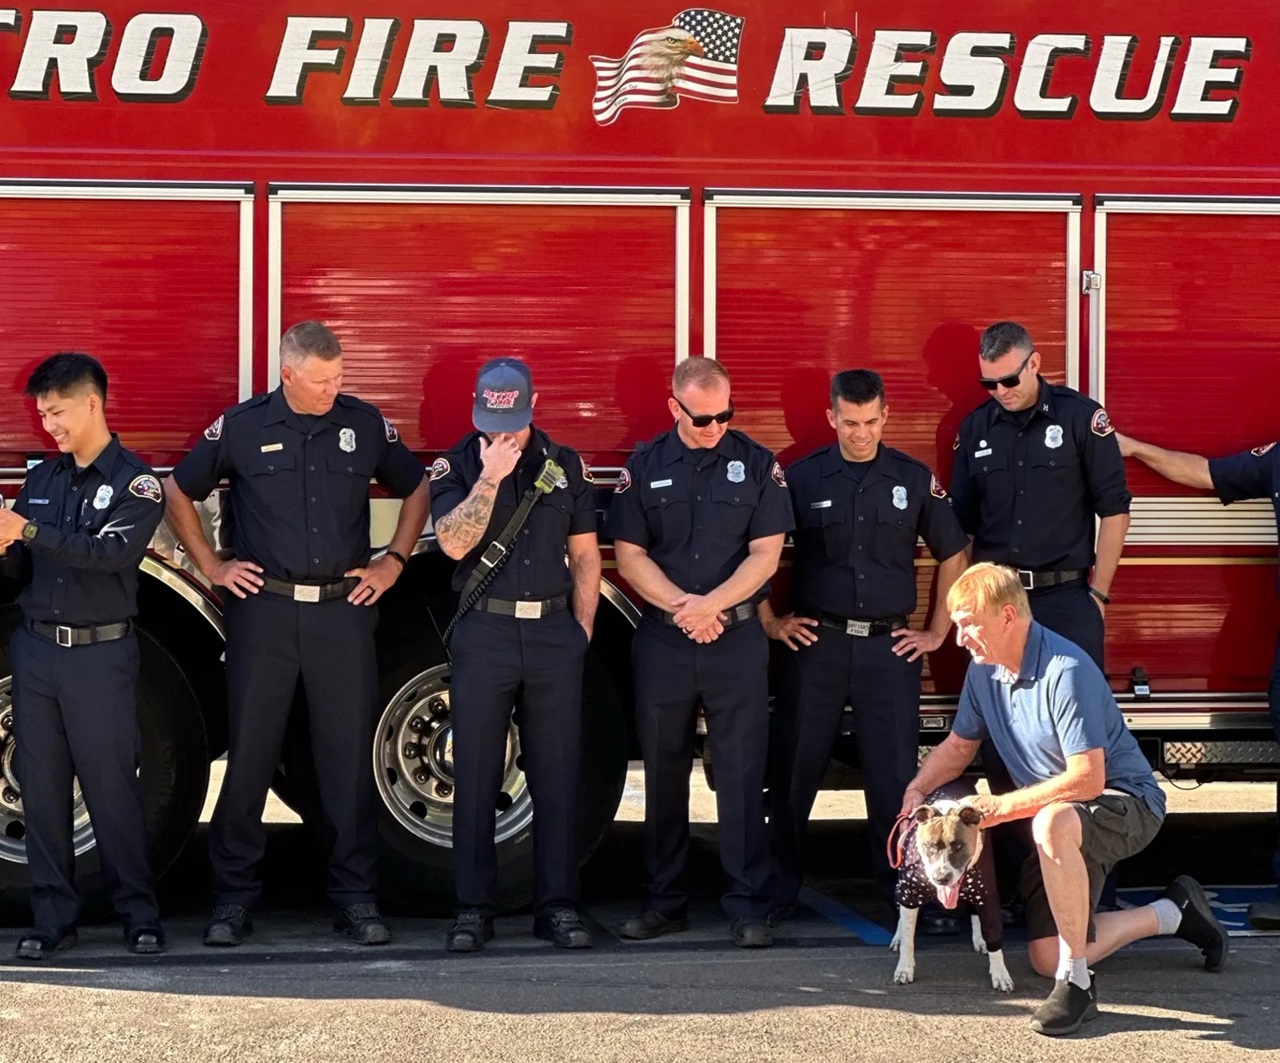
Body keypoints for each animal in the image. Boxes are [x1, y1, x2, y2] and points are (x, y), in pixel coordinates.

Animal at [885, 783, 1013, 998]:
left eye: (959, 845)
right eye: (929, 846)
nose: (941, 878)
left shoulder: (987, 896)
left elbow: (995, 939)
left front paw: (1000, 973)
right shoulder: (909, 893)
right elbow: (909, 937)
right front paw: (904, 968)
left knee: (974, 912)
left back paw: (979, 939)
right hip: (900, 889)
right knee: (901, 915)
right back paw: (898, 937)